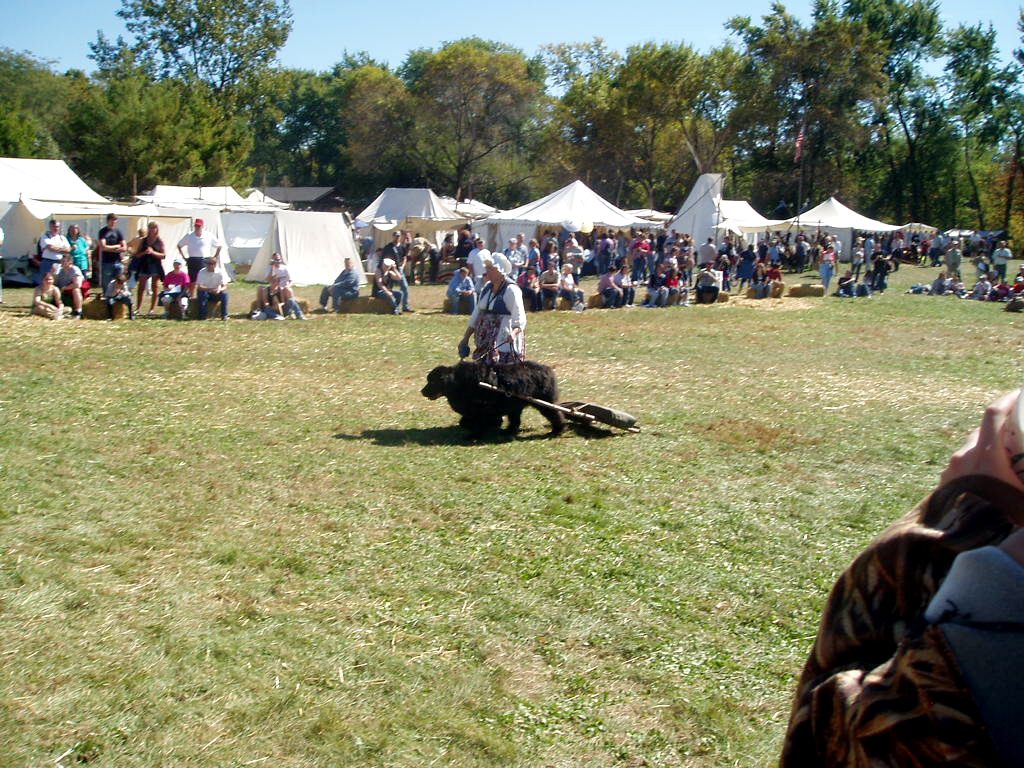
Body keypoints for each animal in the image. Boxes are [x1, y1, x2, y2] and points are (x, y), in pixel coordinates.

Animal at [423, 362, 569, 438]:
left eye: (432, 382)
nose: (422, 391)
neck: (458, 381)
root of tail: (548, 370)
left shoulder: (480, 409)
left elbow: (474, 421)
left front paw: (475, 434)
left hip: (545, 403)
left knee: (555, 414)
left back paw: (557, 431)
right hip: (514, 404)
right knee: (515, 420)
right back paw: (508, 431)